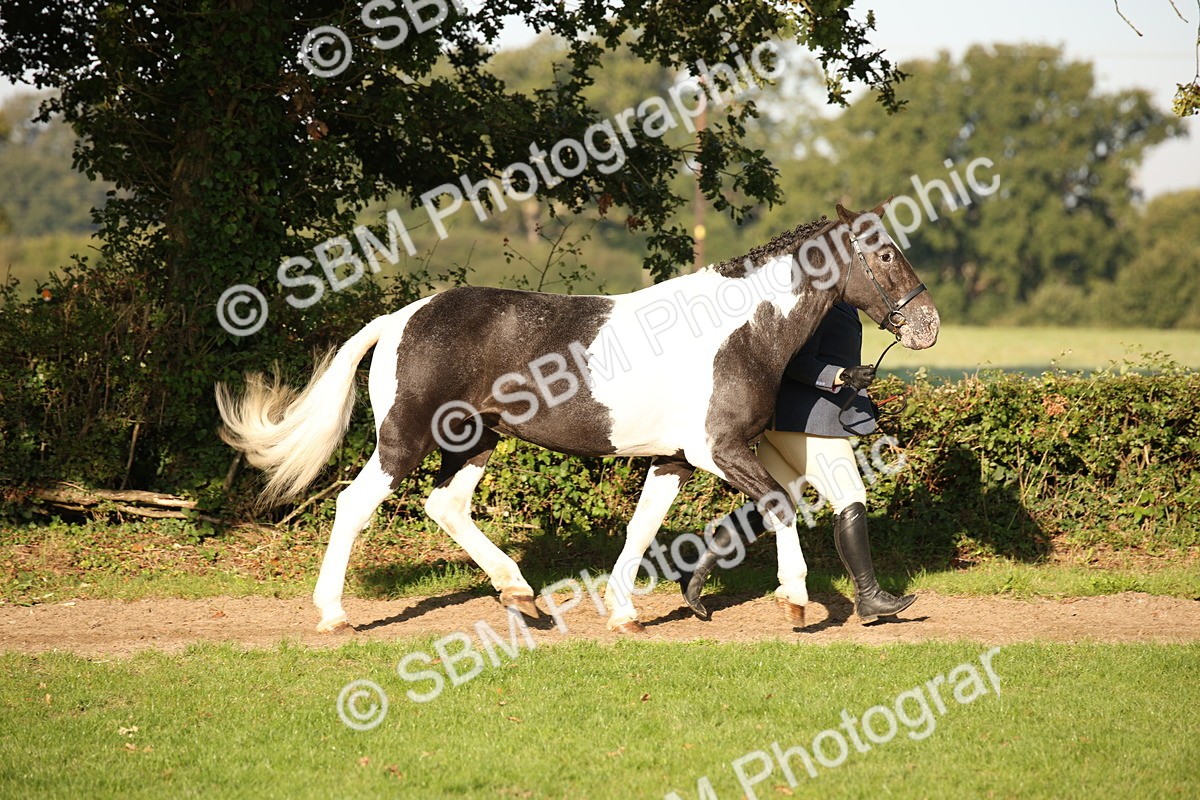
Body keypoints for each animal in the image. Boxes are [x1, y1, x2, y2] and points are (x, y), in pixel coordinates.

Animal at [215, 201, 939, 634]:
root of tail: (400, 318)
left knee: (445, 506)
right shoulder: (718, 449)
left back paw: (520, 595)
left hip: (475, 440)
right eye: (882, 254)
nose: (927, 324)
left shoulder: (673, 460)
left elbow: (643, 528)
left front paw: (625, 614)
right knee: (355, 505)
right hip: (404, 439)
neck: (737, 330)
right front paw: (796, 601)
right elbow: (780, 506)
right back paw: (334, 614)